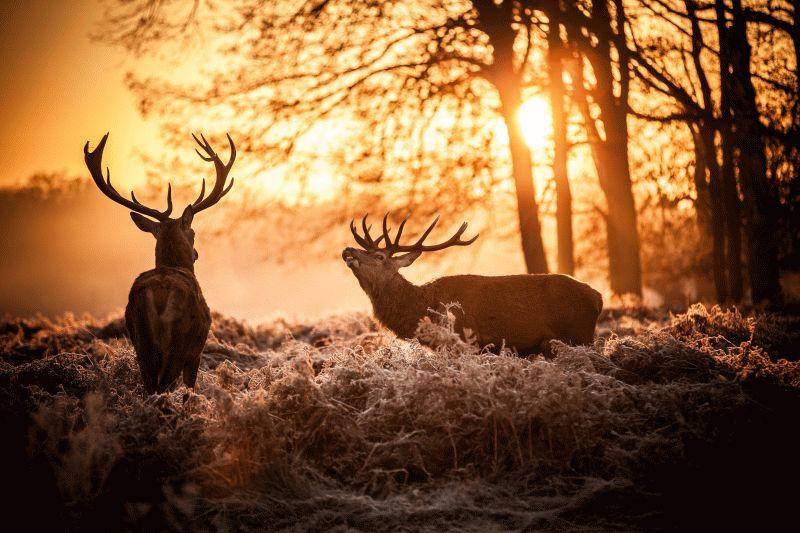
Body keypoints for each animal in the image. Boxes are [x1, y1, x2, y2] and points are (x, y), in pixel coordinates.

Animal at [84, 132, 236, 394]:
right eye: (193, 232)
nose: (196, 253)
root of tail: (159, 295)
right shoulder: (196, 352)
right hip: (178, 344)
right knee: (163, 386)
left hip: (141, 342)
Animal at [342, 214, 603, 356]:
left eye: (380, 256)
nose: (348, 250)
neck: (425, 308)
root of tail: (598, 298)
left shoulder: (466, 343)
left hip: (580, 335)